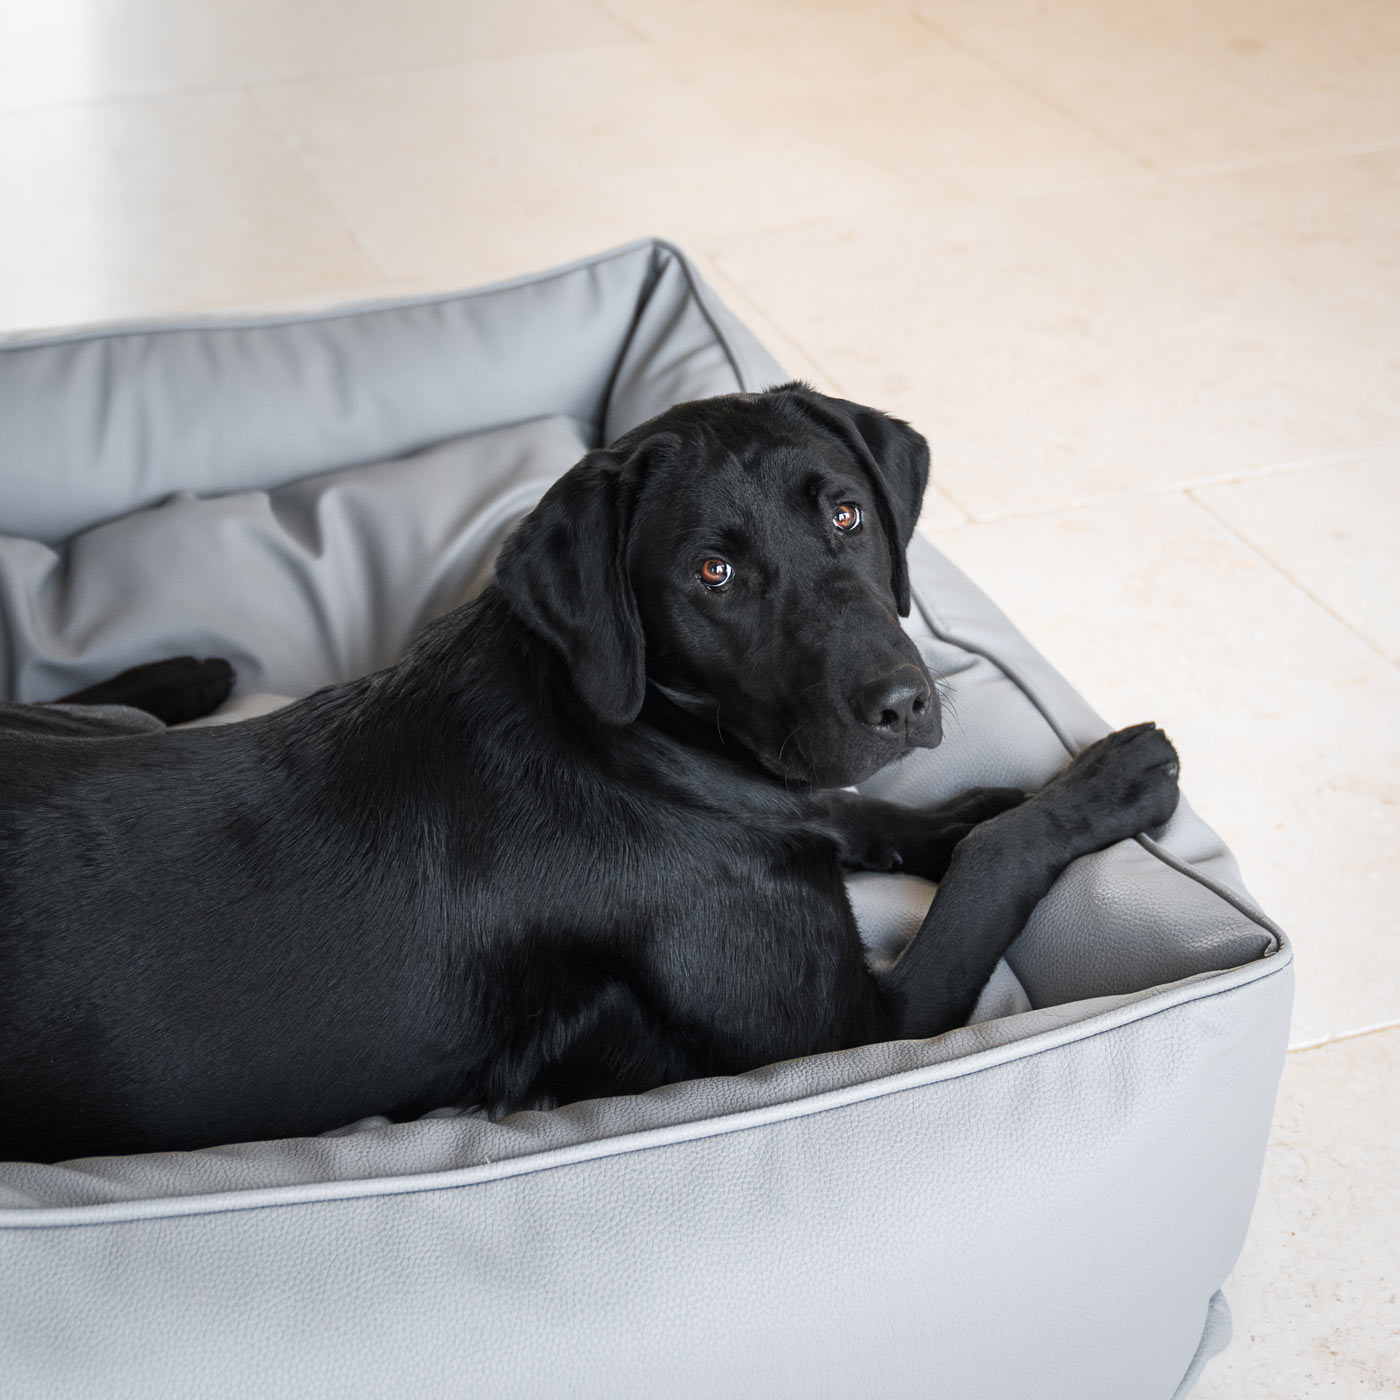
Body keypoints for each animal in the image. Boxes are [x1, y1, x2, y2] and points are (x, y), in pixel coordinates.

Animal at [0, 380, 1181, 1159]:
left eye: (846, 512)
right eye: (712, 573)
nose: (901, 703)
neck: (633, 738)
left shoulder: (785, 806)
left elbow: (887, 815)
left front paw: (1006, 788)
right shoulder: (858, 1032)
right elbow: (984, 863)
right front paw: (1114, 780)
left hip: (88, 722)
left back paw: (192, 667)